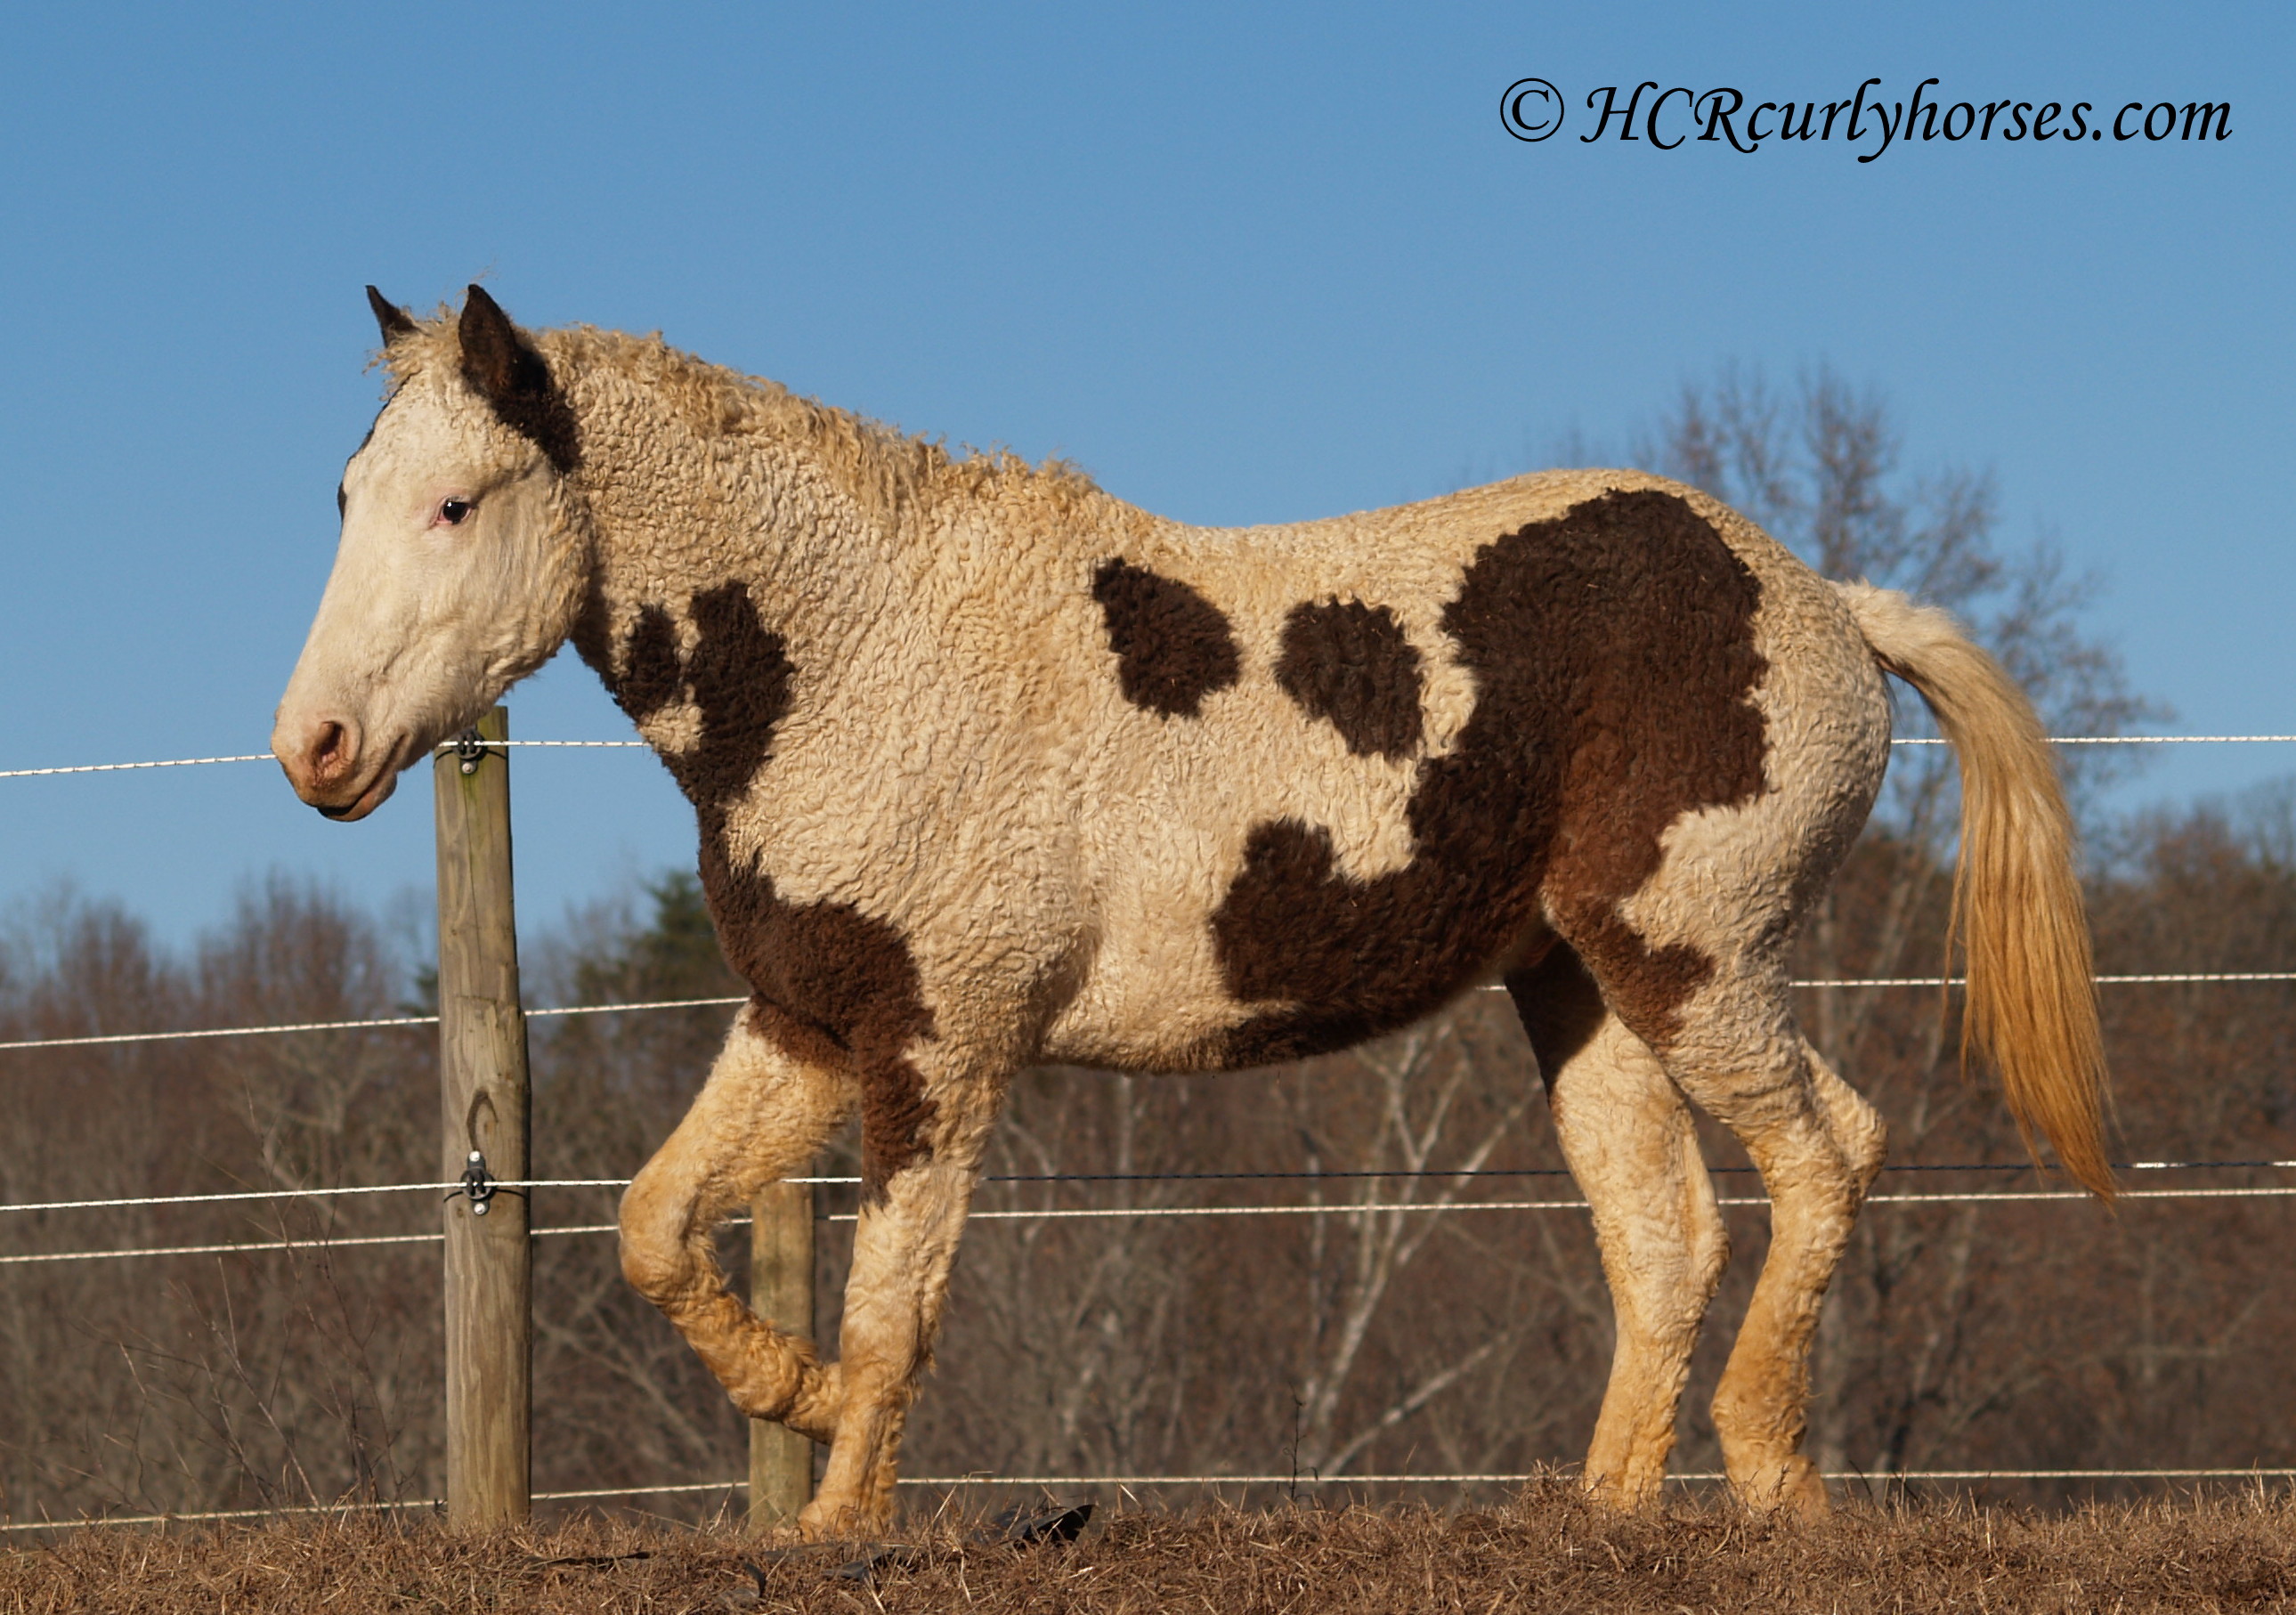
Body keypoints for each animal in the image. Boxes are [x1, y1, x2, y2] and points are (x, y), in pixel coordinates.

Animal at [272, 287, 2112, 1544]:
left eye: (456, 501)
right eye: (345, 493)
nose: (316, 748)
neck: (864, 650)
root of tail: (1828, 605)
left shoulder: (939, 1042)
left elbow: (890, 1298)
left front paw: (839, 1517)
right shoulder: (809, 1018)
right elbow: (658, 1225)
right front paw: (789, 1397)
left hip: (1693, 958)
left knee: (1826, 1152)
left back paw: (1770, 1474)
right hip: (1578, 989)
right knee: (1664, 1233)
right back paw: (1597, 1511)